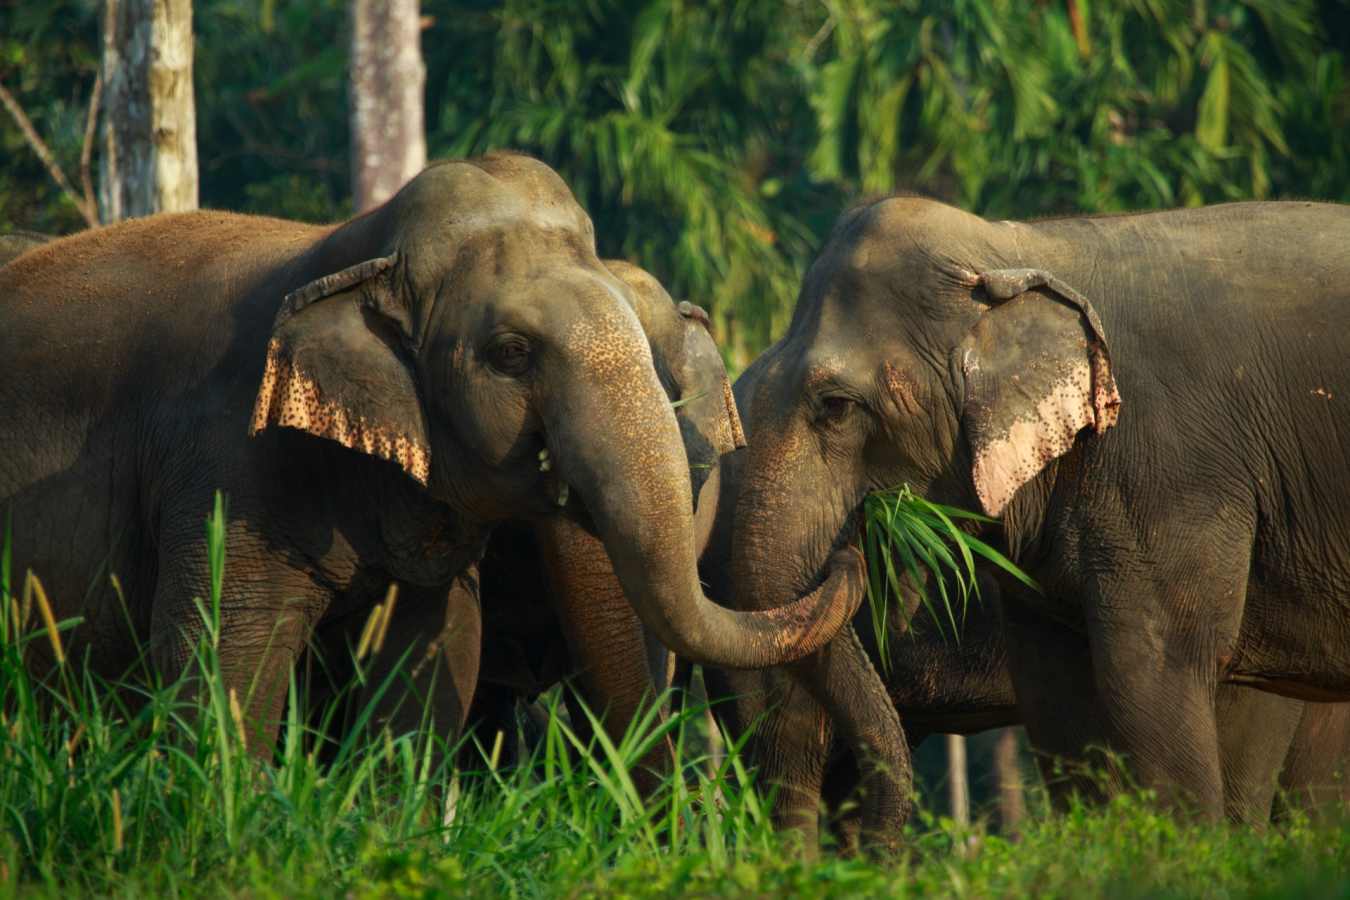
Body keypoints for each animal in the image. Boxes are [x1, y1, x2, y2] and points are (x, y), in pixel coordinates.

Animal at [0, 152, 865, 753]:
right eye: (511, 353)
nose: (850, 551)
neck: (351, 251)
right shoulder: (225, 460)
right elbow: (224, 645)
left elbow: (435, 648)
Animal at [705, 196, 1350, 842]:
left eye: (835, 407)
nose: (854, 545)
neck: (1015, 250)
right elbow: (1073, 687)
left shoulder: (1179, 466)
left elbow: (1156, 672)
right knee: (787, 746)